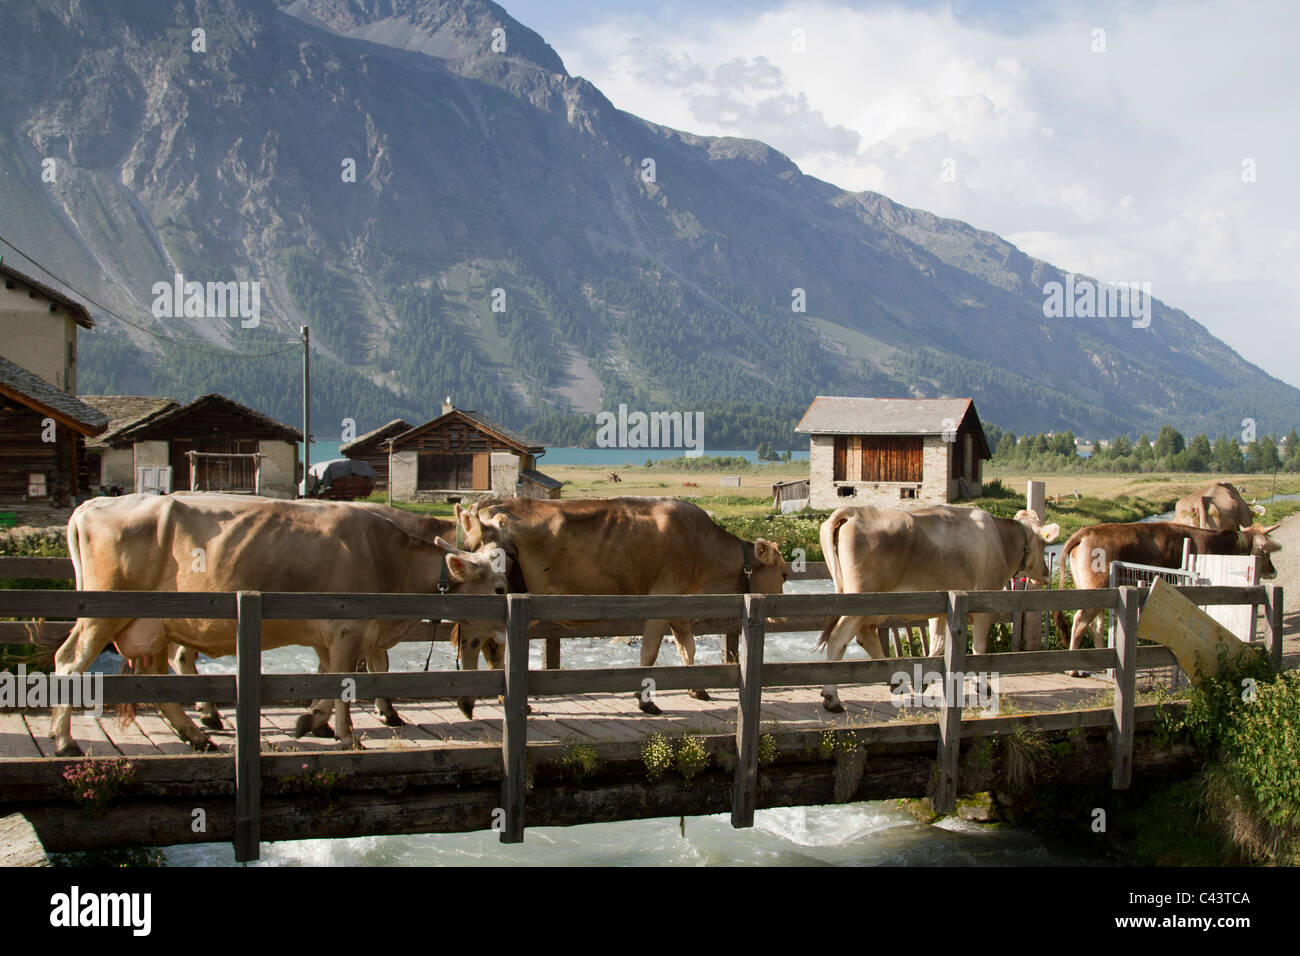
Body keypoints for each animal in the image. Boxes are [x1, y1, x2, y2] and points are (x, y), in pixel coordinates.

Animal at [457, 496, 785, 712]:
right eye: (784, 573)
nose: (780, 617)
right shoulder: (663, 601)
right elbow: (649, 652)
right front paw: (645, 701)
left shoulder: (682, 610)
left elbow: (687, 649)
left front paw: (697, 688)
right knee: (491, 644)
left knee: (486, 645)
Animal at [1055, 520, 1279, 660]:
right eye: (1264, 550)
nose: (1273, 570)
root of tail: (1088, 531)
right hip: (1096, 586)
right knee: (1081, 620)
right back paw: (1074, 668)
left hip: (1094, 589)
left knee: (1096, 624)